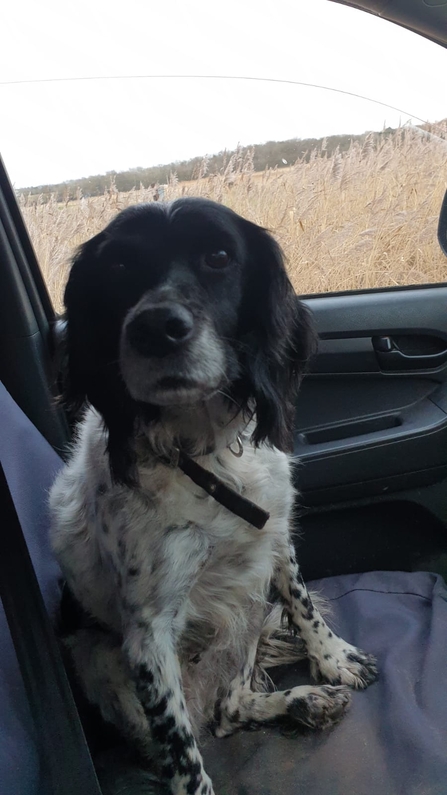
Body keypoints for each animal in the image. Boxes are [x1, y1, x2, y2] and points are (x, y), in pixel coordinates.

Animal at [49, 199, 378, 795]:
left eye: (219, 256)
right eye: (118, 268)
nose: (156, 328)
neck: (203, 455)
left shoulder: (272, 537)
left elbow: (302, 604)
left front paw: (333, 658)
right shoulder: (147, 637)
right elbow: (182, 754)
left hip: (246, 610)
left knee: (231, 706)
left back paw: (305, 701)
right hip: (100, 662)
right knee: (211, 721)